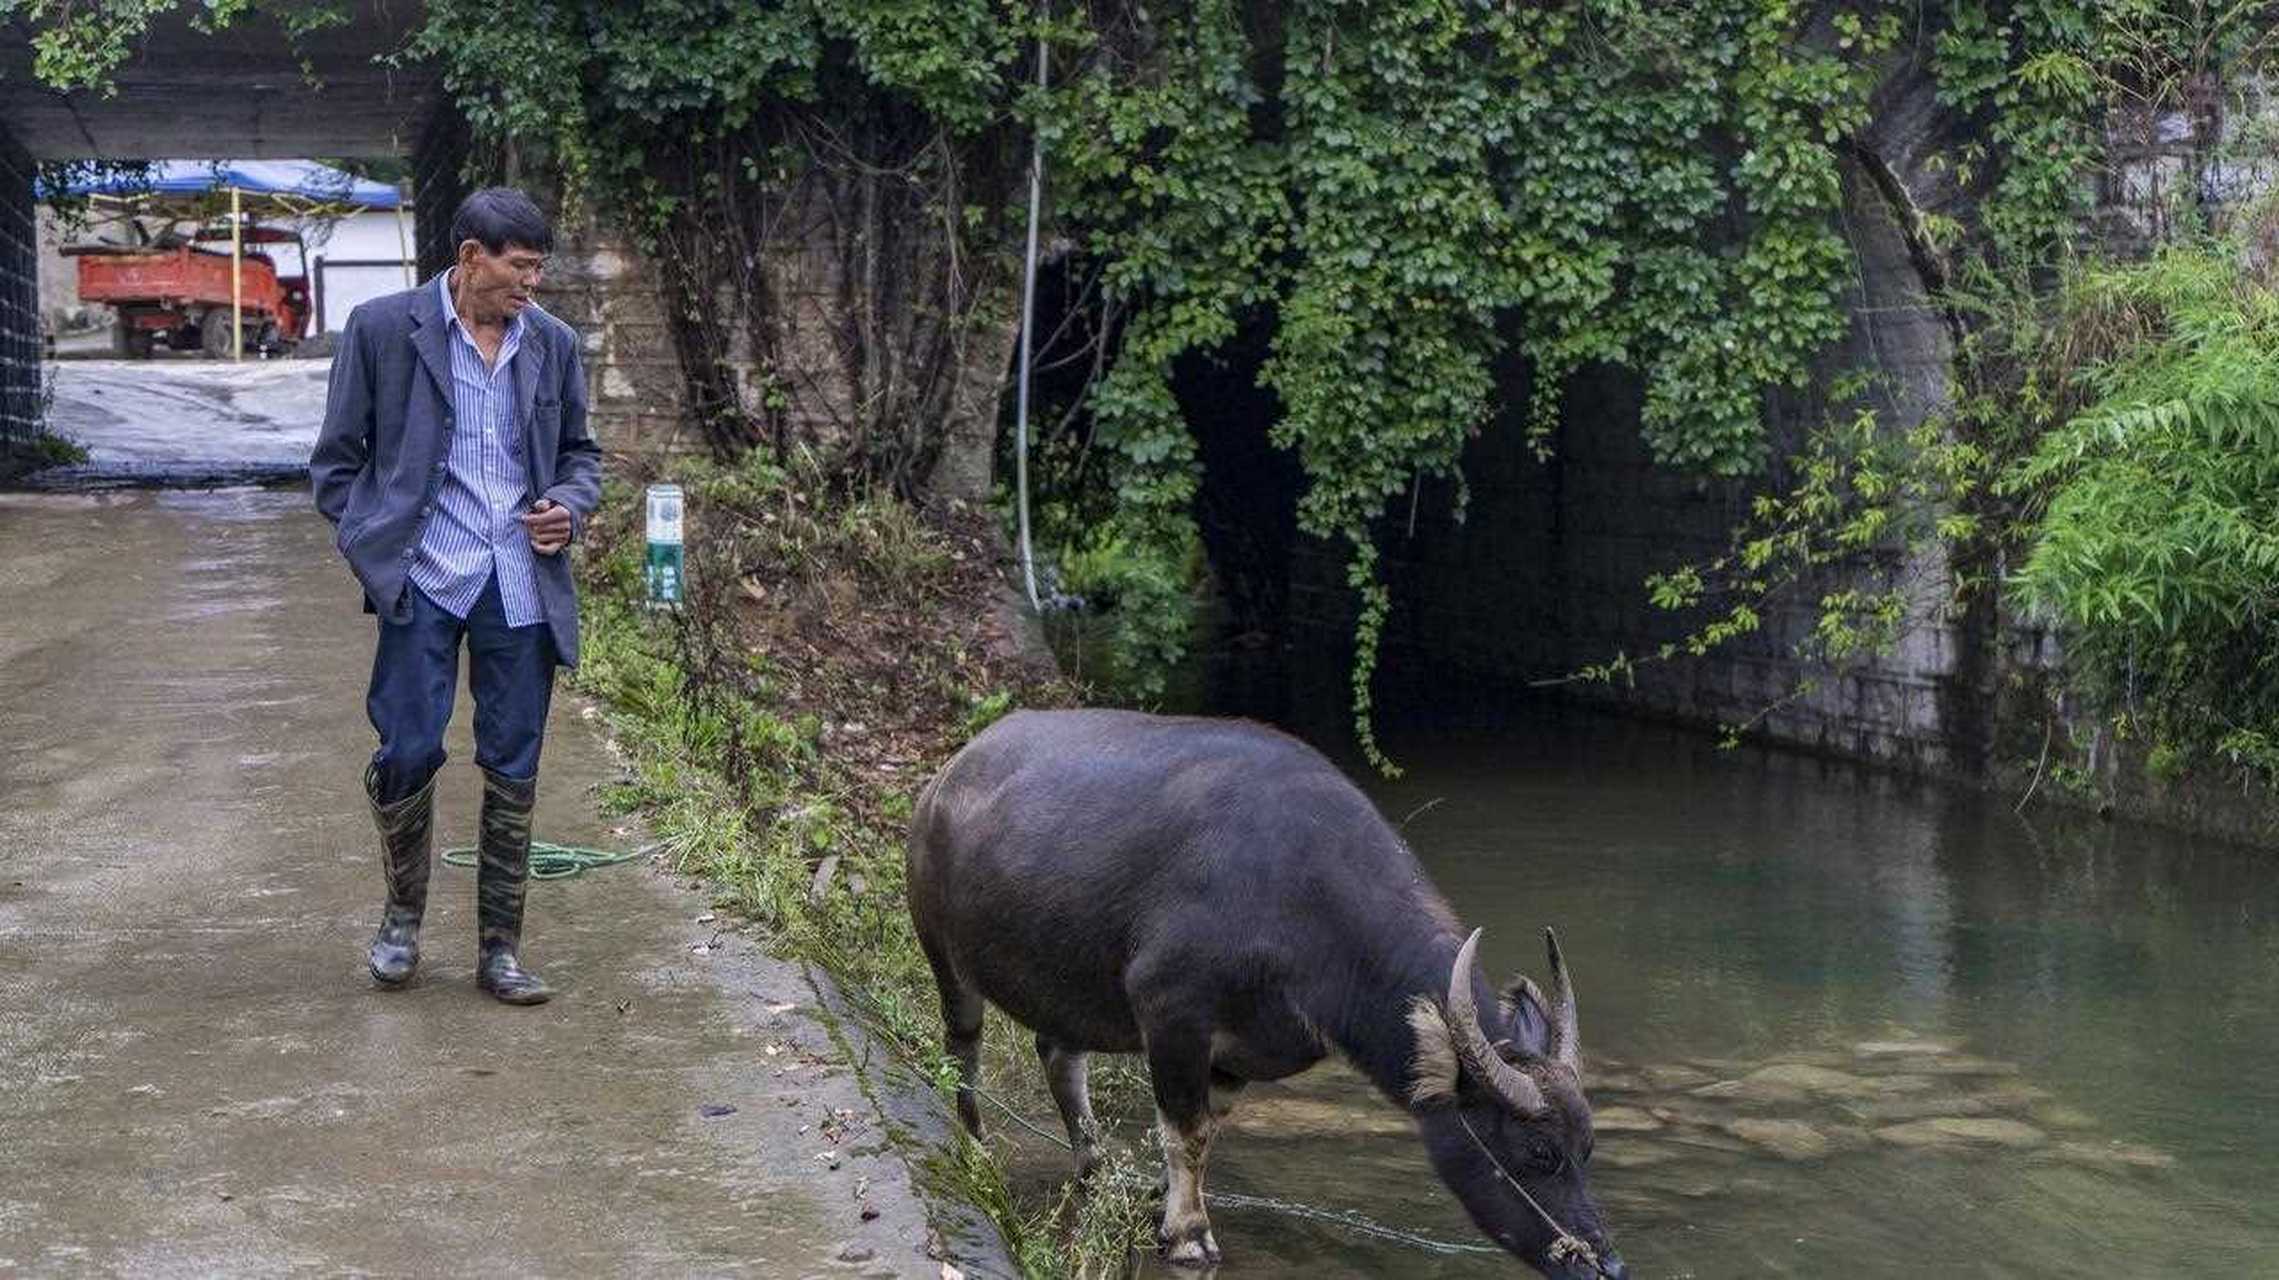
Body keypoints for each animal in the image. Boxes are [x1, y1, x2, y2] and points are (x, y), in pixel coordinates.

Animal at [897, 706, 1631, 1275]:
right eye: (1537, 1152)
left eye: (1587, 1152)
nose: (1603, 1264)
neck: (1302, 900)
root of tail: (944, 779)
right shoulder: (1171, 1014)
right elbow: (1185, 1131)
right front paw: (1189, 1237)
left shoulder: (1237, 1052)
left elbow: (1207, 1132)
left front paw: (1169, 1208)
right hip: (944, 957)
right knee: (961, 1049)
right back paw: (975, 1143)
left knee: (1058, 1055)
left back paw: (1094, 1163)